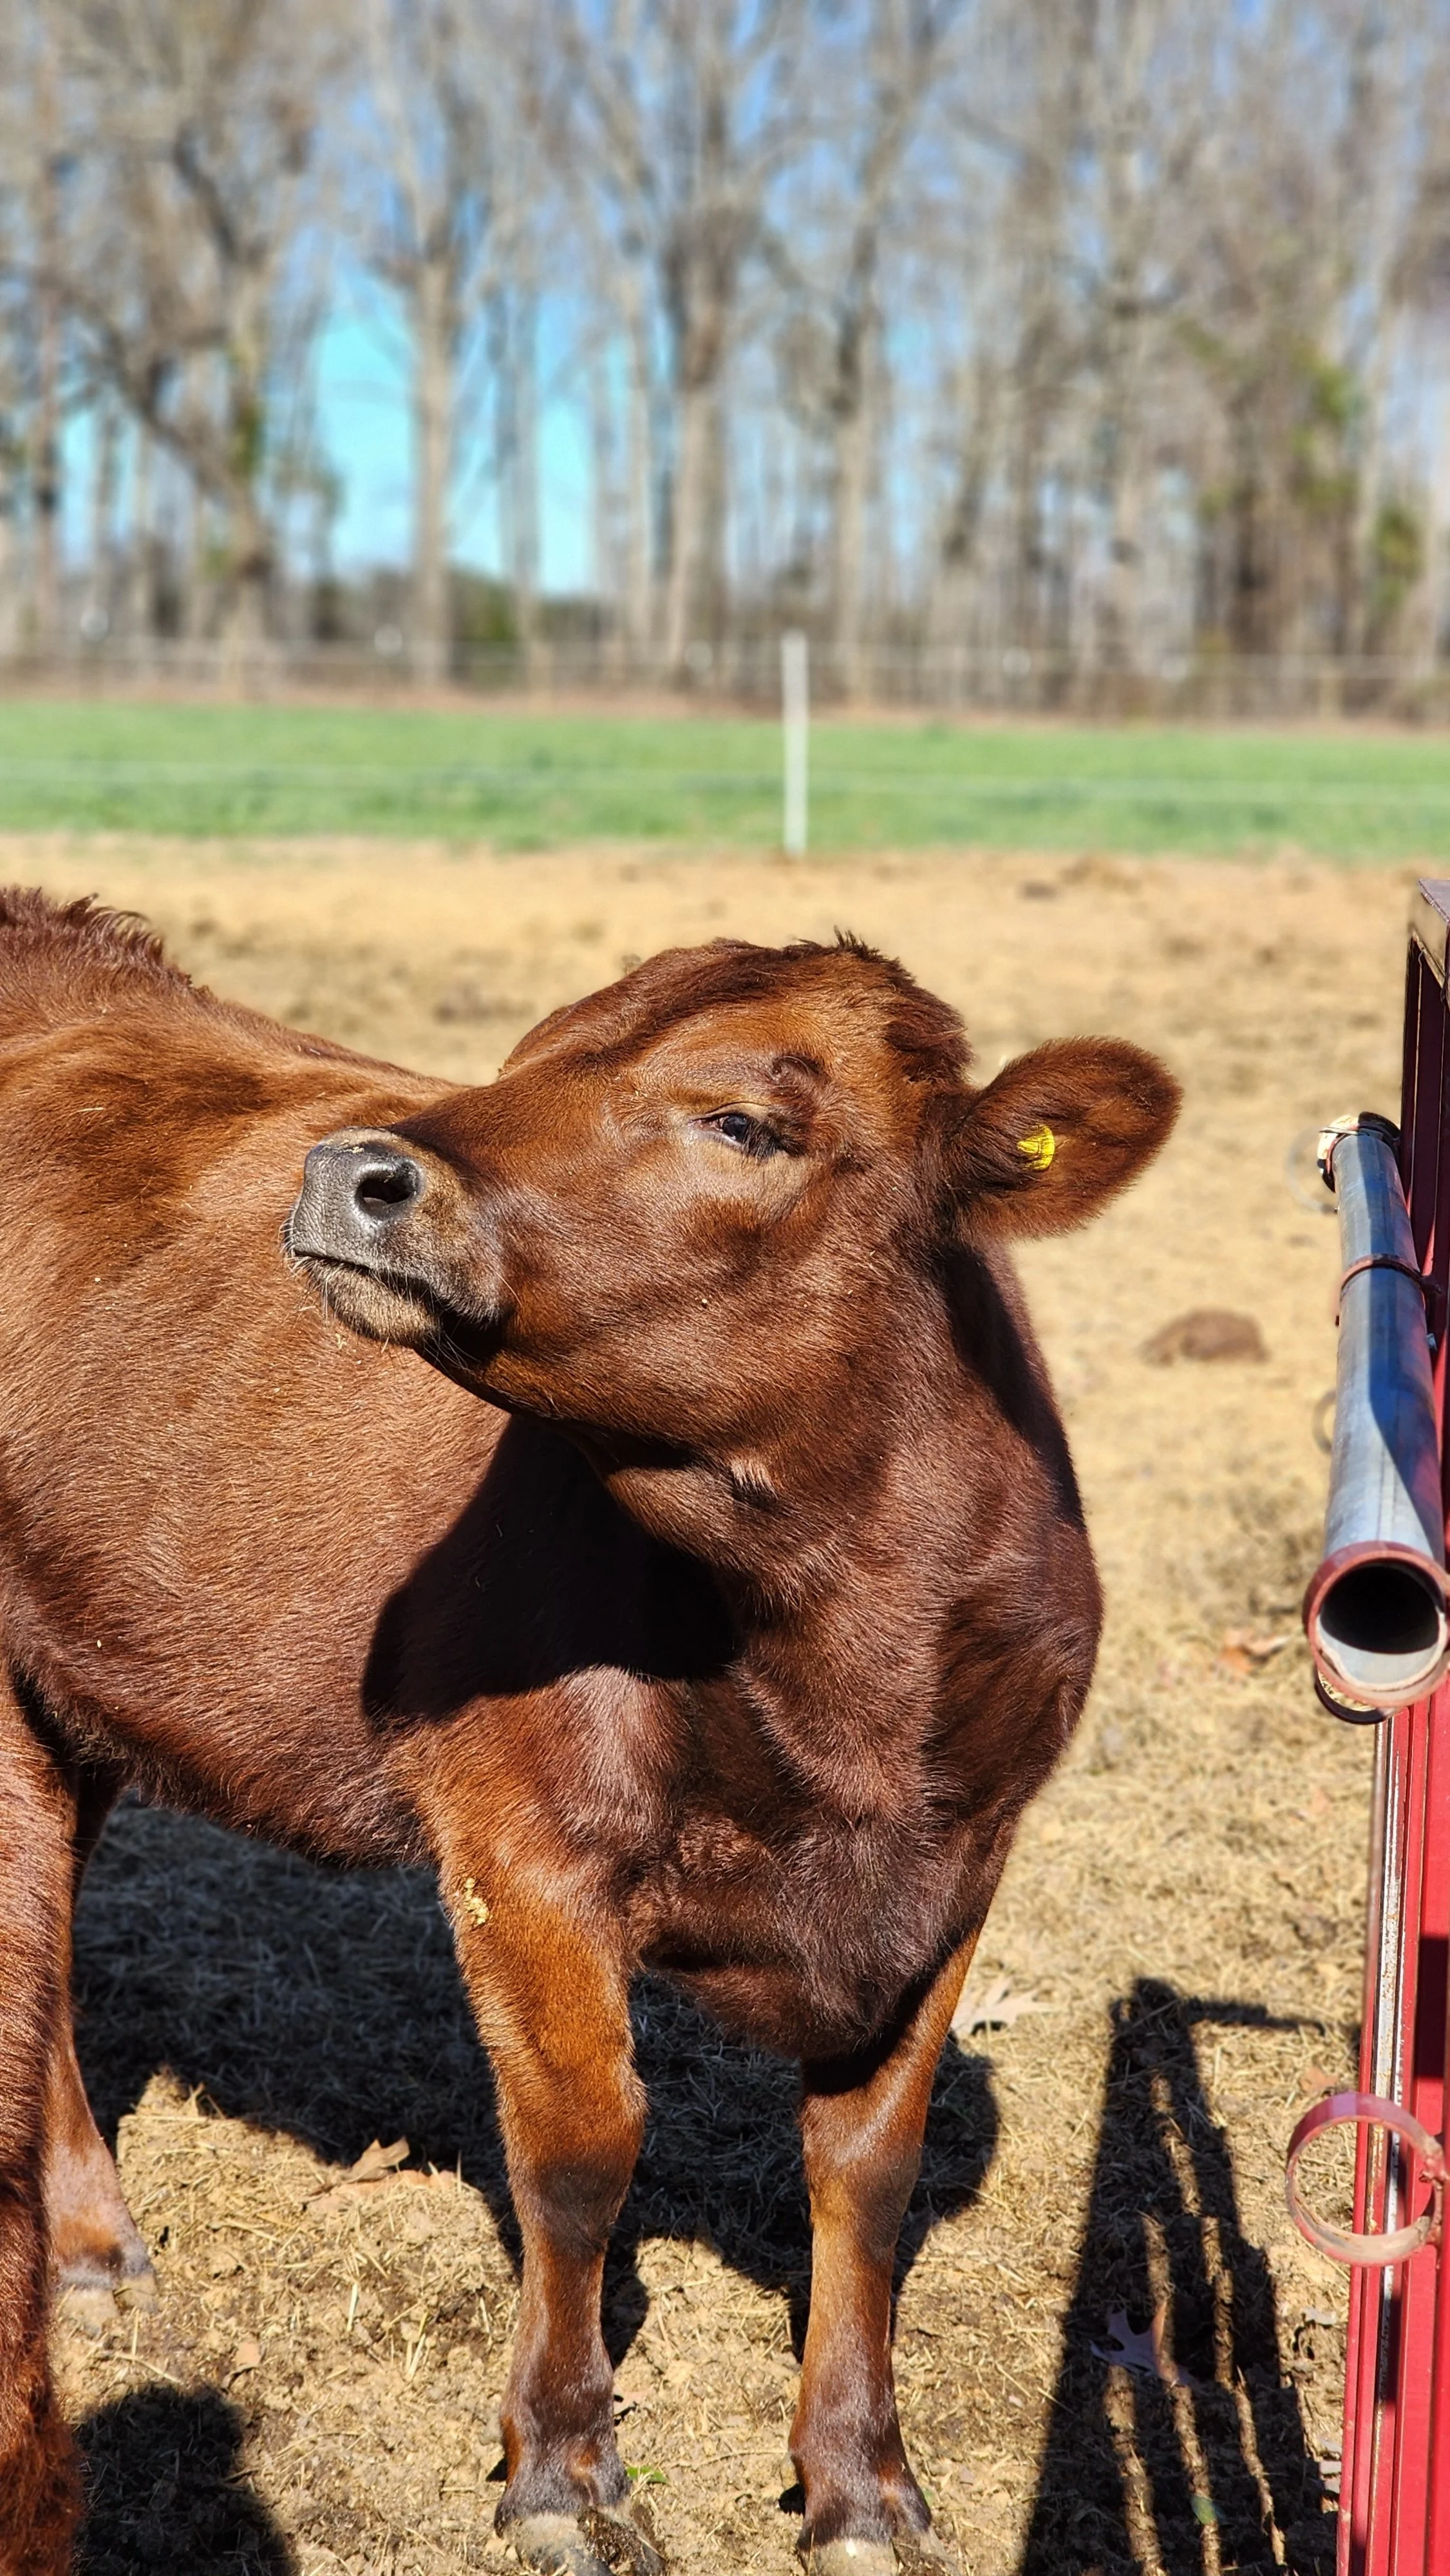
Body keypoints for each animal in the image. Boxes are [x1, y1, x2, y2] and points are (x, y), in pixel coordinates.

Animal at [0, 889, 1178, 2576]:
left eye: (749, 1121)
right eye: (527, 1057)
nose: (354, 1172)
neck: (840, 1675)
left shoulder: (964, 1860)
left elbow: (868, 2171)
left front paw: (858, 2479)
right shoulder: (520, 1840)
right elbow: (579, 2149)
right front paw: (561, 2464)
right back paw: (91, 2243)